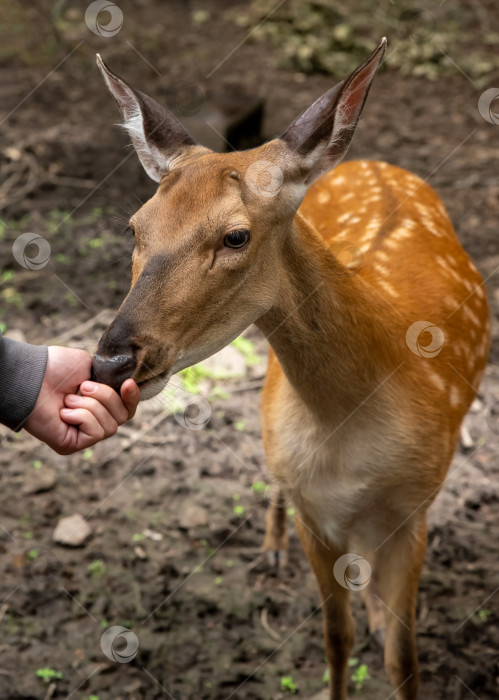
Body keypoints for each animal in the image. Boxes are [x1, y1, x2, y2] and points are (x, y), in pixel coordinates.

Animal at [92, 39, 490, 700]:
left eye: (236, 236)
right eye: (134, 227)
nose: (111, 358)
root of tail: (372, 163)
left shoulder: (416, 509)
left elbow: (403, 660)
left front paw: (384, 627)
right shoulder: (313, 512)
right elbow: (335, 639)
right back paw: (272, 549)